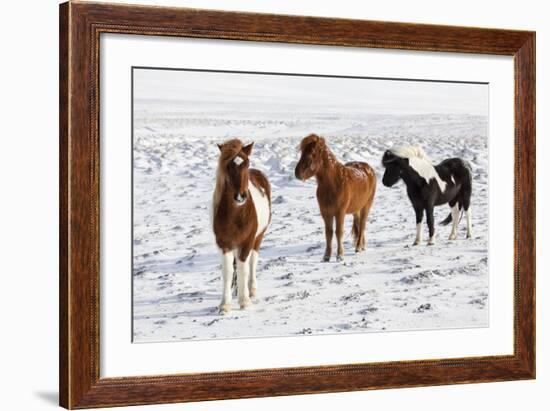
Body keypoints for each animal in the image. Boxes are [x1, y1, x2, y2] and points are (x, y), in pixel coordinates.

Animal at [212, 140, 272, 314]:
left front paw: (244, 301)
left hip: (258, 239)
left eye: (246, 163)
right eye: (228, 166)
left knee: (252, 262)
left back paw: (251, 290)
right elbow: (228, 271)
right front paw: (225, 304)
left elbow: (243, 268)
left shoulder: (246, 243)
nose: (240, 196)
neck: (236, 214)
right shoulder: (224, 244)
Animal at [296, 135, 378, 264]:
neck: (334, 183)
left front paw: (340, 256)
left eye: (312, 153)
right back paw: (362, 245)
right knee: (359, 223)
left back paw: (358, 247)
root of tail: (368, 168)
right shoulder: (326, 213)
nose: (297, 173)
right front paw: (326, 256)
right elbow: (328, 233)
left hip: (366, 206)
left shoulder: (340, 212)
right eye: (302, 152)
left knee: (363, 224)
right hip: (356, 209)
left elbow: (338, 232)